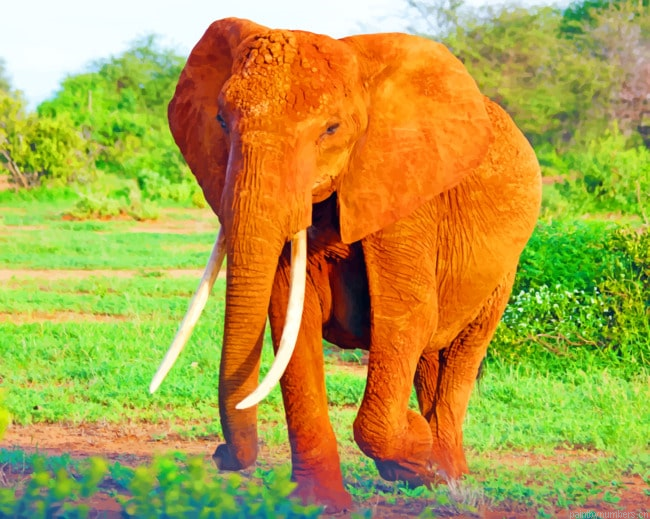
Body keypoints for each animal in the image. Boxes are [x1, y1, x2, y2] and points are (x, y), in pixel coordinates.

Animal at [149, 18, 542, 512]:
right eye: (221, 121)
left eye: (331, 129)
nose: (219, 455)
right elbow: (291, 319)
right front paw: (320, 504)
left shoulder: (404, 189)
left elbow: (406, 317)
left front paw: (415, 448)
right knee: (431, 357)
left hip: (506, 267)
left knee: (462, 350)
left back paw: (448, 476)